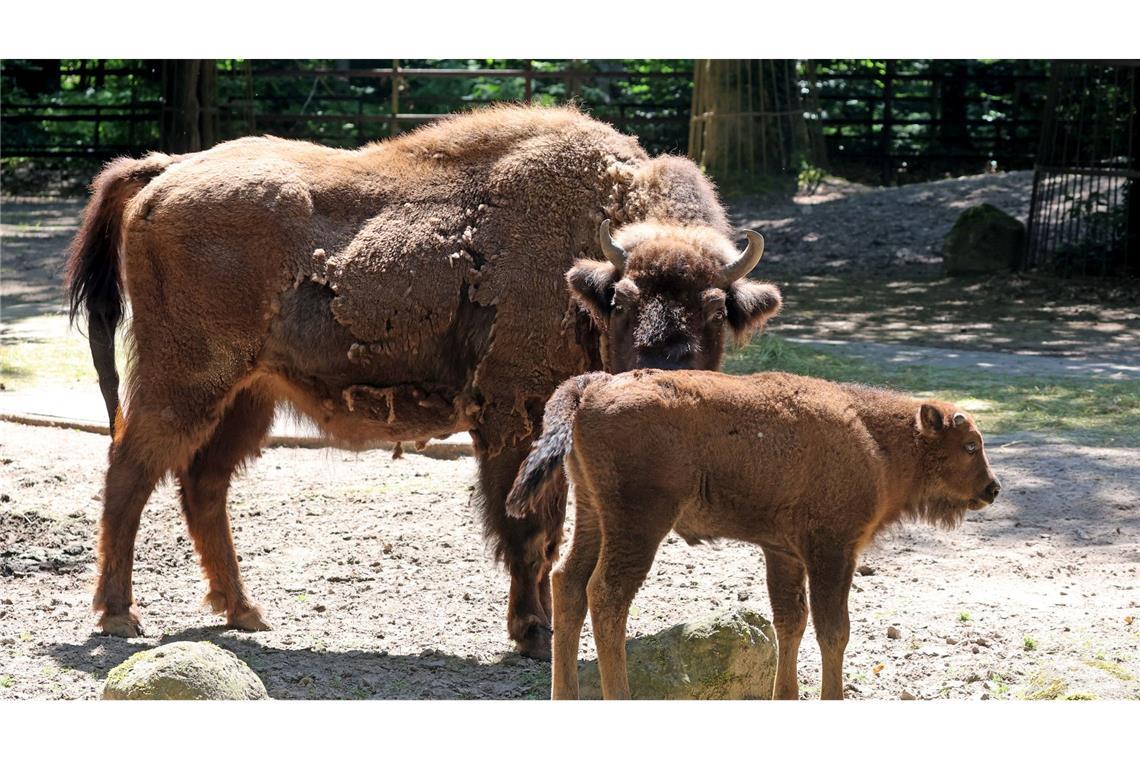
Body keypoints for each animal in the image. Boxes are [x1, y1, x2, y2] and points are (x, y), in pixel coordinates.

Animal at [66, 104, 779, 656]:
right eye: (623, 299)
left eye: (716, 307)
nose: (664, 370)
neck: (583, 277)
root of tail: (166, 172)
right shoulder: (514, 419)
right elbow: (529, 531)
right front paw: (531, 633)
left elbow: (549, 537)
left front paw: (544, 627)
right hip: (185, 379)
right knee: (130, 469)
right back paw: (120, 616)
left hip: (250, 394)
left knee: (202, 482)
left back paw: (244, 612)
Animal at [506, 369, 998, 701]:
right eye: (970, 446)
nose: (993, 489)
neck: (875, 438)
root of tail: (593, 386)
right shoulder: (833, 551)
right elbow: (833, 630)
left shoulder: (784, 553)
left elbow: (790, 622)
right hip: (638, 524)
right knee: (606, 595)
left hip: (594, 515)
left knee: (568, 583)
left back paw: (564, 695)